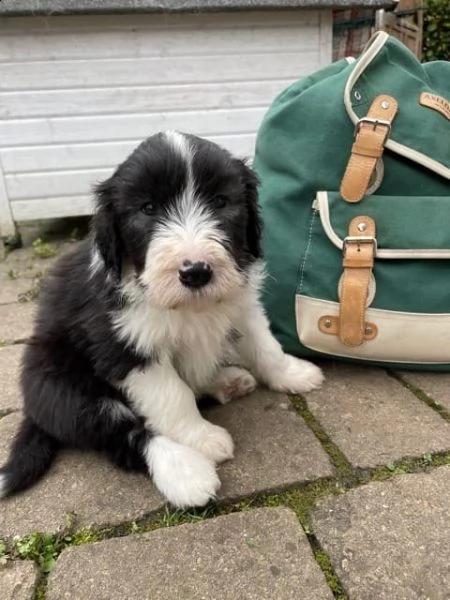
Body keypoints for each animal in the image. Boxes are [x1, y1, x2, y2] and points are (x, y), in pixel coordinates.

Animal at [0, 131, 324, 506]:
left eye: (220, 202)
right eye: (148, 209)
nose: (196, 271)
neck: (187, 306)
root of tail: (34, 411)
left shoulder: (242, 306)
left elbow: (265, 346)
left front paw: (293, 374)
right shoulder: (125, 345)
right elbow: (173, 396)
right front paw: (200, 438)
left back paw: (226, 381)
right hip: (62, 385)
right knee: (122, 433)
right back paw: (186, 473)